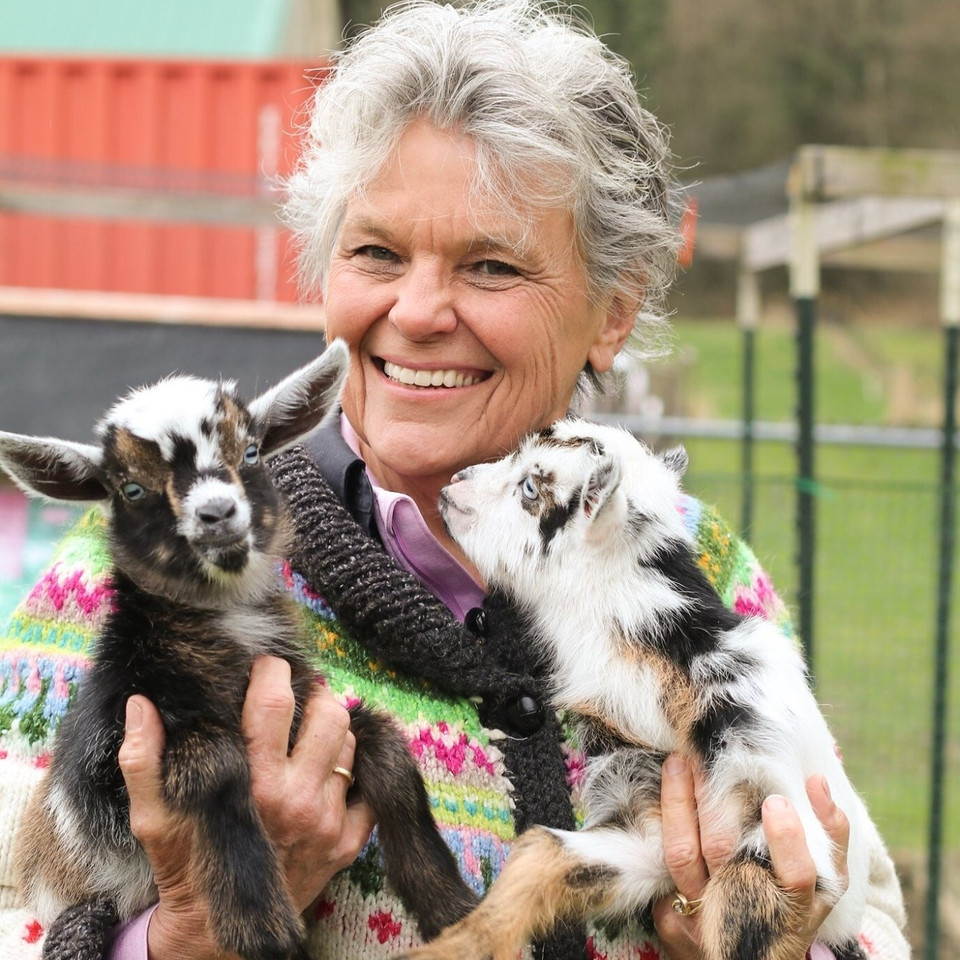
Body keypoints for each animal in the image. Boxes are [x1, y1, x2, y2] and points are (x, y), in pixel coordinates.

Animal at [0, 340, 477, 960]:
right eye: (131, 489)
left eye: (250, 452)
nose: (217, 513)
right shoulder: (120, 749)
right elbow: (218, 761)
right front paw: (257, 920)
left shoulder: (308, 708)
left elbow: (387, 746)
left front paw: (451, 906)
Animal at [402, 418, 871, 960]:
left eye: (530, 489)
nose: (453, 483)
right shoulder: (643, 810)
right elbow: (545, 850)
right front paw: (452, 947)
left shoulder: (779, 817)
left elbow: (742, 916)